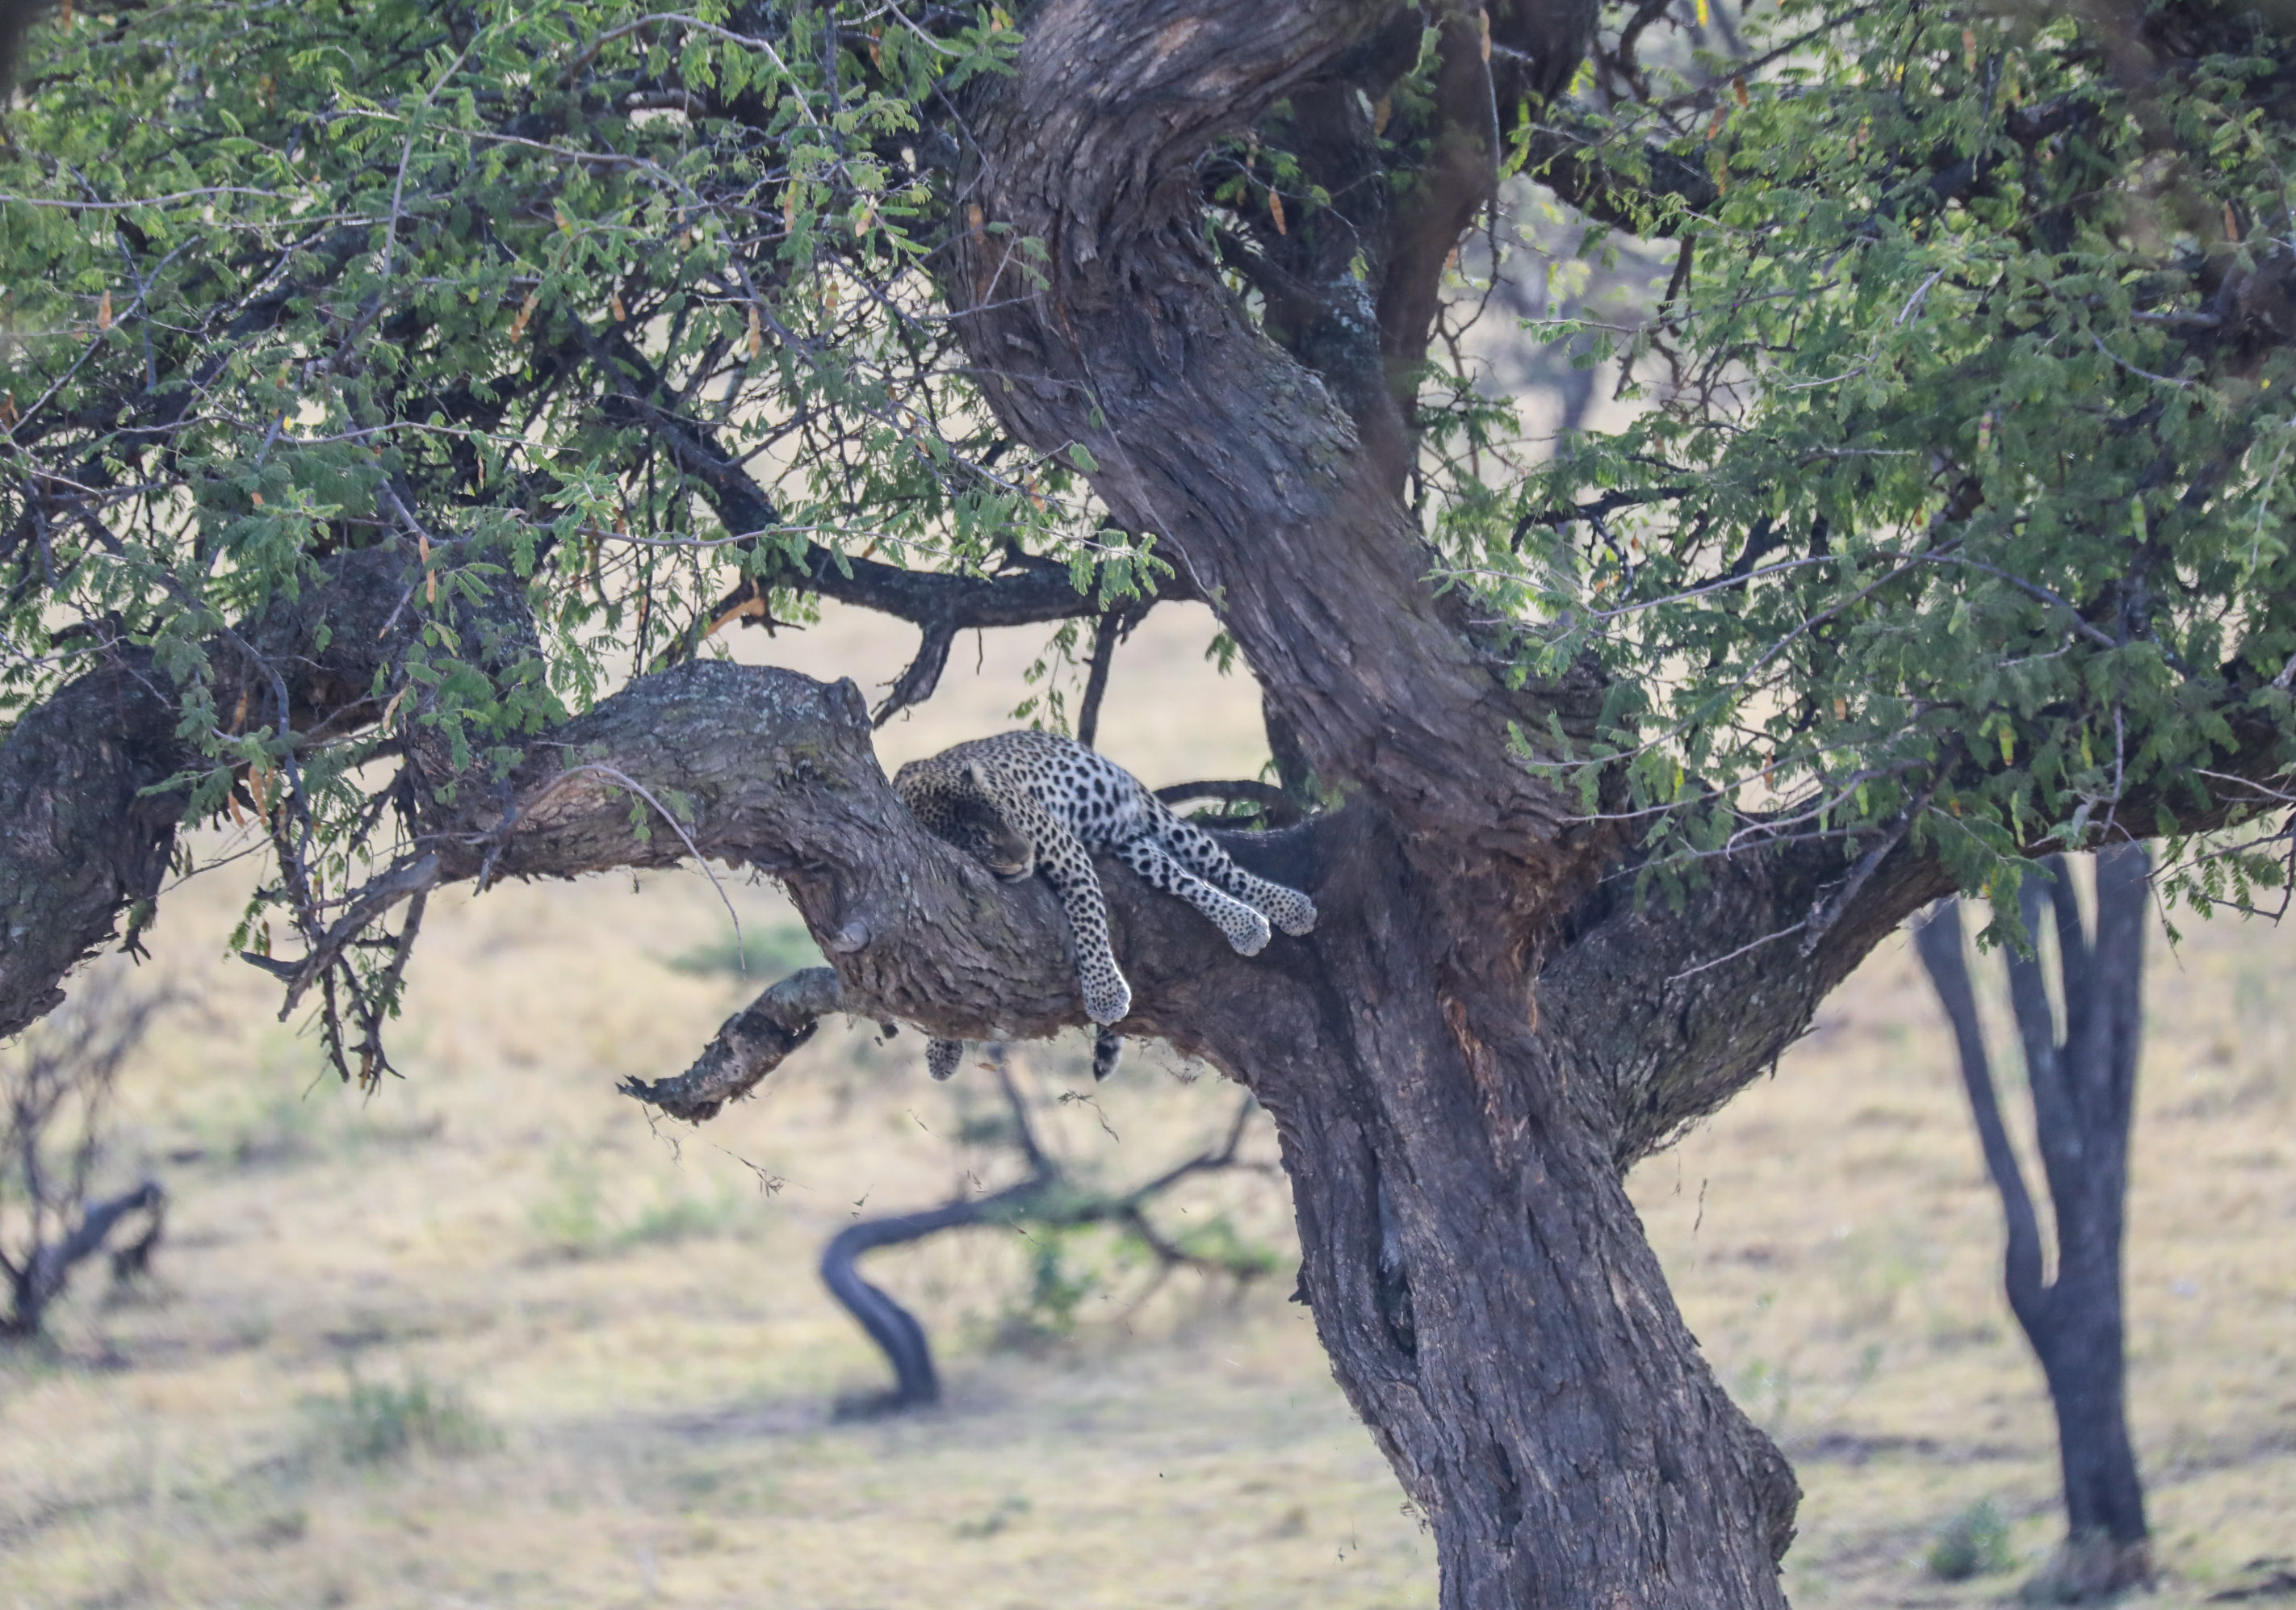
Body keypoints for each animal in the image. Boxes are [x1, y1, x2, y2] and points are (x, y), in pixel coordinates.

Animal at [899, 730, 1331, 1079]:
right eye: (980, 839)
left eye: (1006, 814)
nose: (1027, 855)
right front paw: (941, 1048)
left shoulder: (1064, 848)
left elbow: (1088, 920)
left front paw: (1105, 994)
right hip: (1132, 845)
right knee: (1183, 879)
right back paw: (1245, 922)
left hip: (1153, 815)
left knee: (1219, 865)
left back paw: (1284, 908)